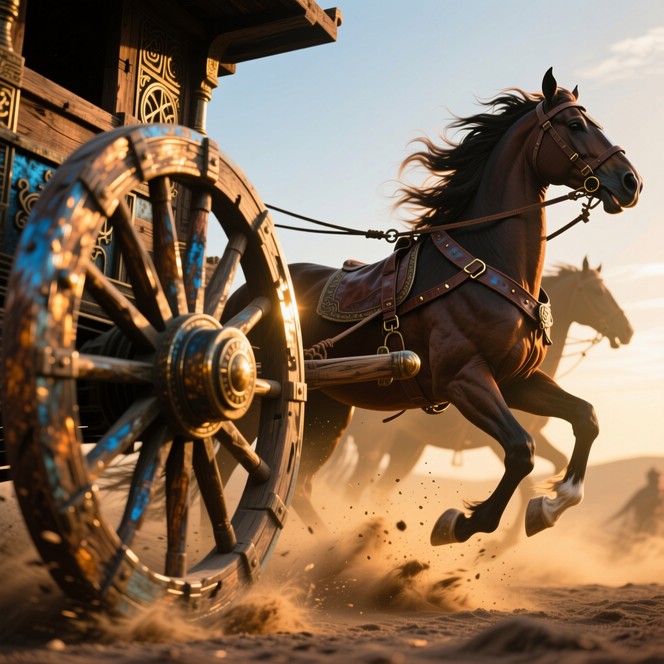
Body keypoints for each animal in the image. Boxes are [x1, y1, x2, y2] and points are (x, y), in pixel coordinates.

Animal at [319, 258, 633, 543]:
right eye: (597, 292)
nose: (627, 330)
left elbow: (560, 454)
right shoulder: (497, 438)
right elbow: (527, 477)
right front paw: (502, 538)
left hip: (406, 449)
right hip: (375, 447)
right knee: (355, 486)